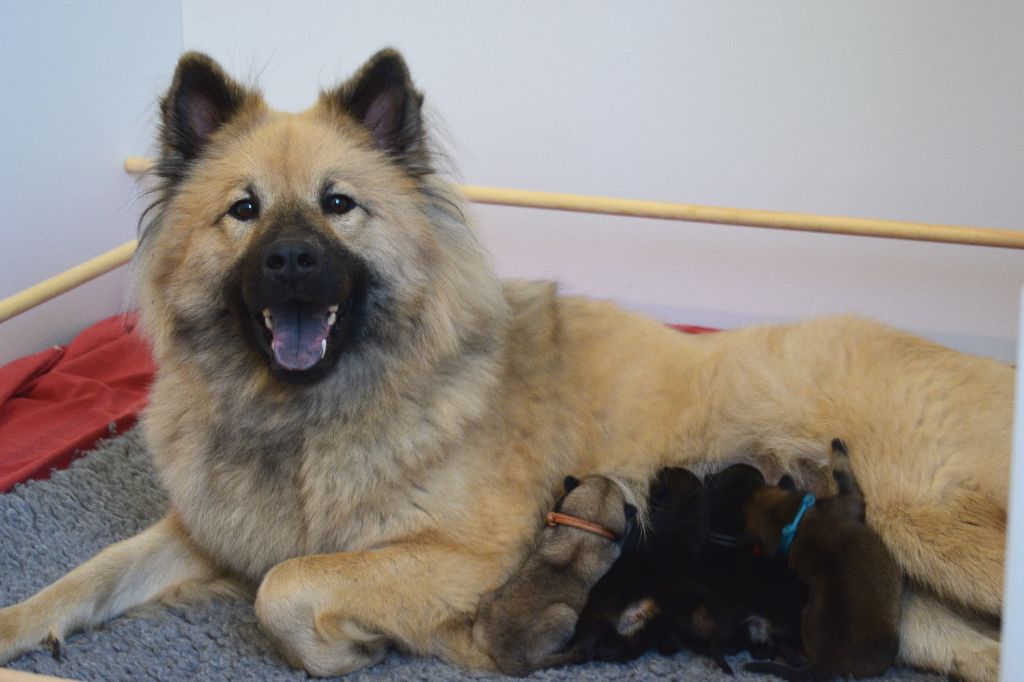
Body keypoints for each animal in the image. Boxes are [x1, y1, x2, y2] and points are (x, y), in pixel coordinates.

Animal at [741, 438, 901, 675]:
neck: (787, 520)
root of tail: (830, 659)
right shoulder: (848, 501)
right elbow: (842, 473)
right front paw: (838, 447)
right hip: (889, 646)